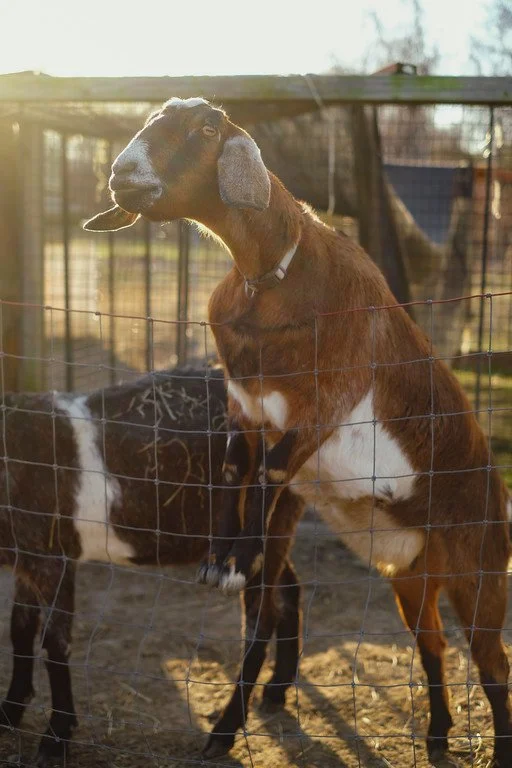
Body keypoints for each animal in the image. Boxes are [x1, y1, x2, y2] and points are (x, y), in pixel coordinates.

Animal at [0, 368, 303, 765]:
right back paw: (277, 689)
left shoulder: (54, 557)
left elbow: (55, 644)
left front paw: (55, 738)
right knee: (289, 592)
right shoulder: (26, 558)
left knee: (259, 622)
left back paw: (223, 733)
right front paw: (9, 712)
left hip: (268, 524)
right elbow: (19, 630)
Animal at [84, 97, 512, 768]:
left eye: (205, 128)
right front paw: (220, 558)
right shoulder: (244, 405)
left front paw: (236, 562)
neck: (276, 279)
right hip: (414, 578)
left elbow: (271, 471)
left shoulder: (321, 407)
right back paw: (439, 733)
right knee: (435, 644)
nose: (122, 176)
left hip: (482, 569)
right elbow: (236, 470)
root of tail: (496, 487)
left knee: (494, 666)